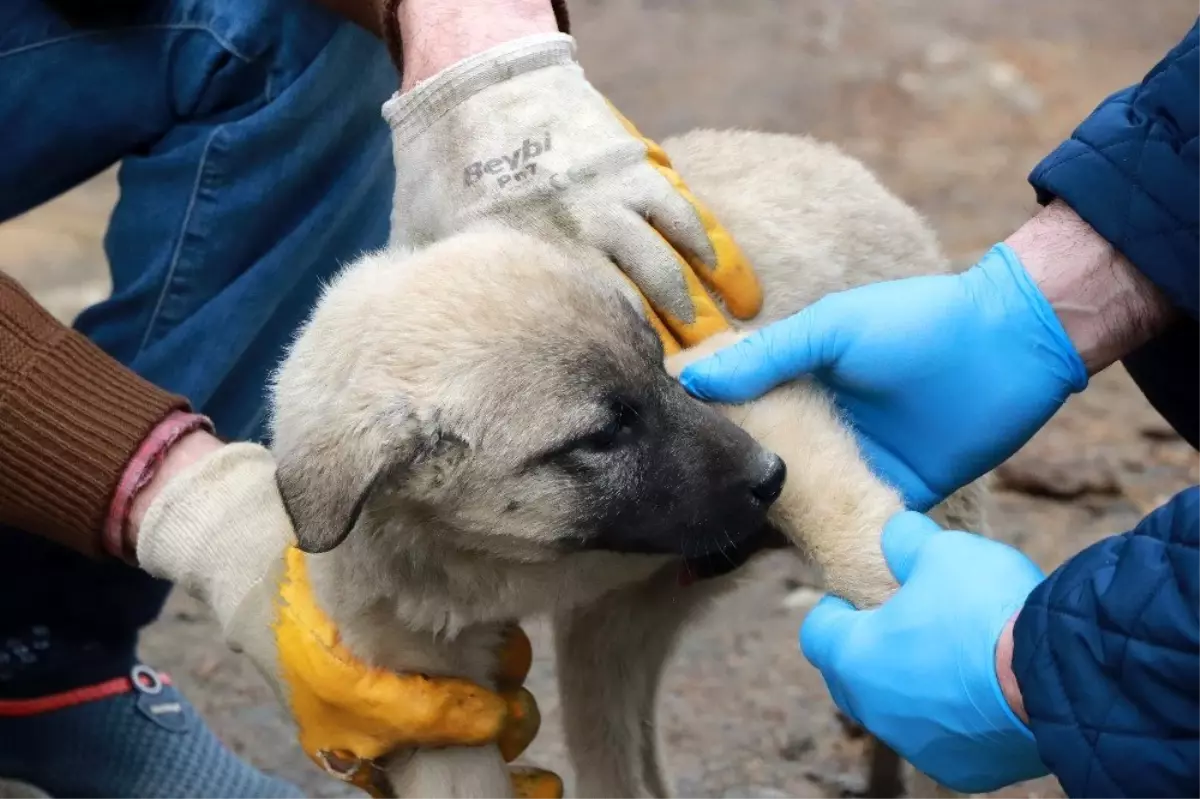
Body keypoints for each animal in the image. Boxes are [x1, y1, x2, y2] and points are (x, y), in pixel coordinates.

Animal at [270, 130, 984, 796]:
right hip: (611, 639)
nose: (770, 477)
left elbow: (859, 548)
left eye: (657, 364)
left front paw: (927, 662)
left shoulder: (741, 383)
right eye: (604, 434)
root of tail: (824, 156)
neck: (510, 560)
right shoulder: (432, 704)